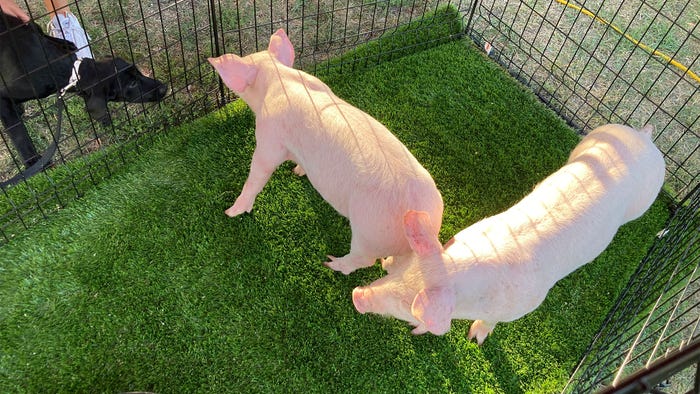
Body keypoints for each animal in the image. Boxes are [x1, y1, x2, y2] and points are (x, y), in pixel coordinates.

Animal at [0, 11, 168, 169]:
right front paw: (34, 161)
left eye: (138, 72)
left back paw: (67, 43)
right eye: (132, 84)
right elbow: (19, 134)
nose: (164, 88)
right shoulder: (4, 97)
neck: (71, 72)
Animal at [208, 29, 446, 274]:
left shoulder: (270, 136)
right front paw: (297, 171)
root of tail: (429, 224)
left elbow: (258, 172)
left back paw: (331, 262)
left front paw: (231, 212)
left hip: (370, 232)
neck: (278, 77)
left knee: (364, 260)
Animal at [352, 124, 664, 344]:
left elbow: (492, 323)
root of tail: (646, 139)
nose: (357, 294)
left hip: (647, 196)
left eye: (406, 305)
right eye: (395, 274)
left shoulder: (525, 305)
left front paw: (475, 339)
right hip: (595, 136)